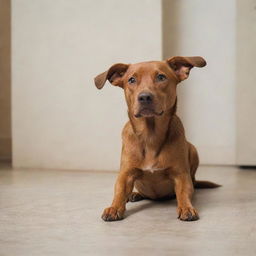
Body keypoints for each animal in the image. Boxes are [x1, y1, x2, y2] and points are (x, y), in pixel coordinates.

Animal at [94, 56, 220, 222]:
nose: (144, 97)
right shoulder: (125, 174)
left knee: (192, 183)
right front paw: (114, 207)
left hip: (193, 150)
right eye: (131, 80)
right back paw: (134, 194)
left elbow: (183, 192)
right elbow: (120, 191)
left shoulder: (181, 175)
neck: (150, 136)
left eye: (161, 77)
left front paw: (186, 207)